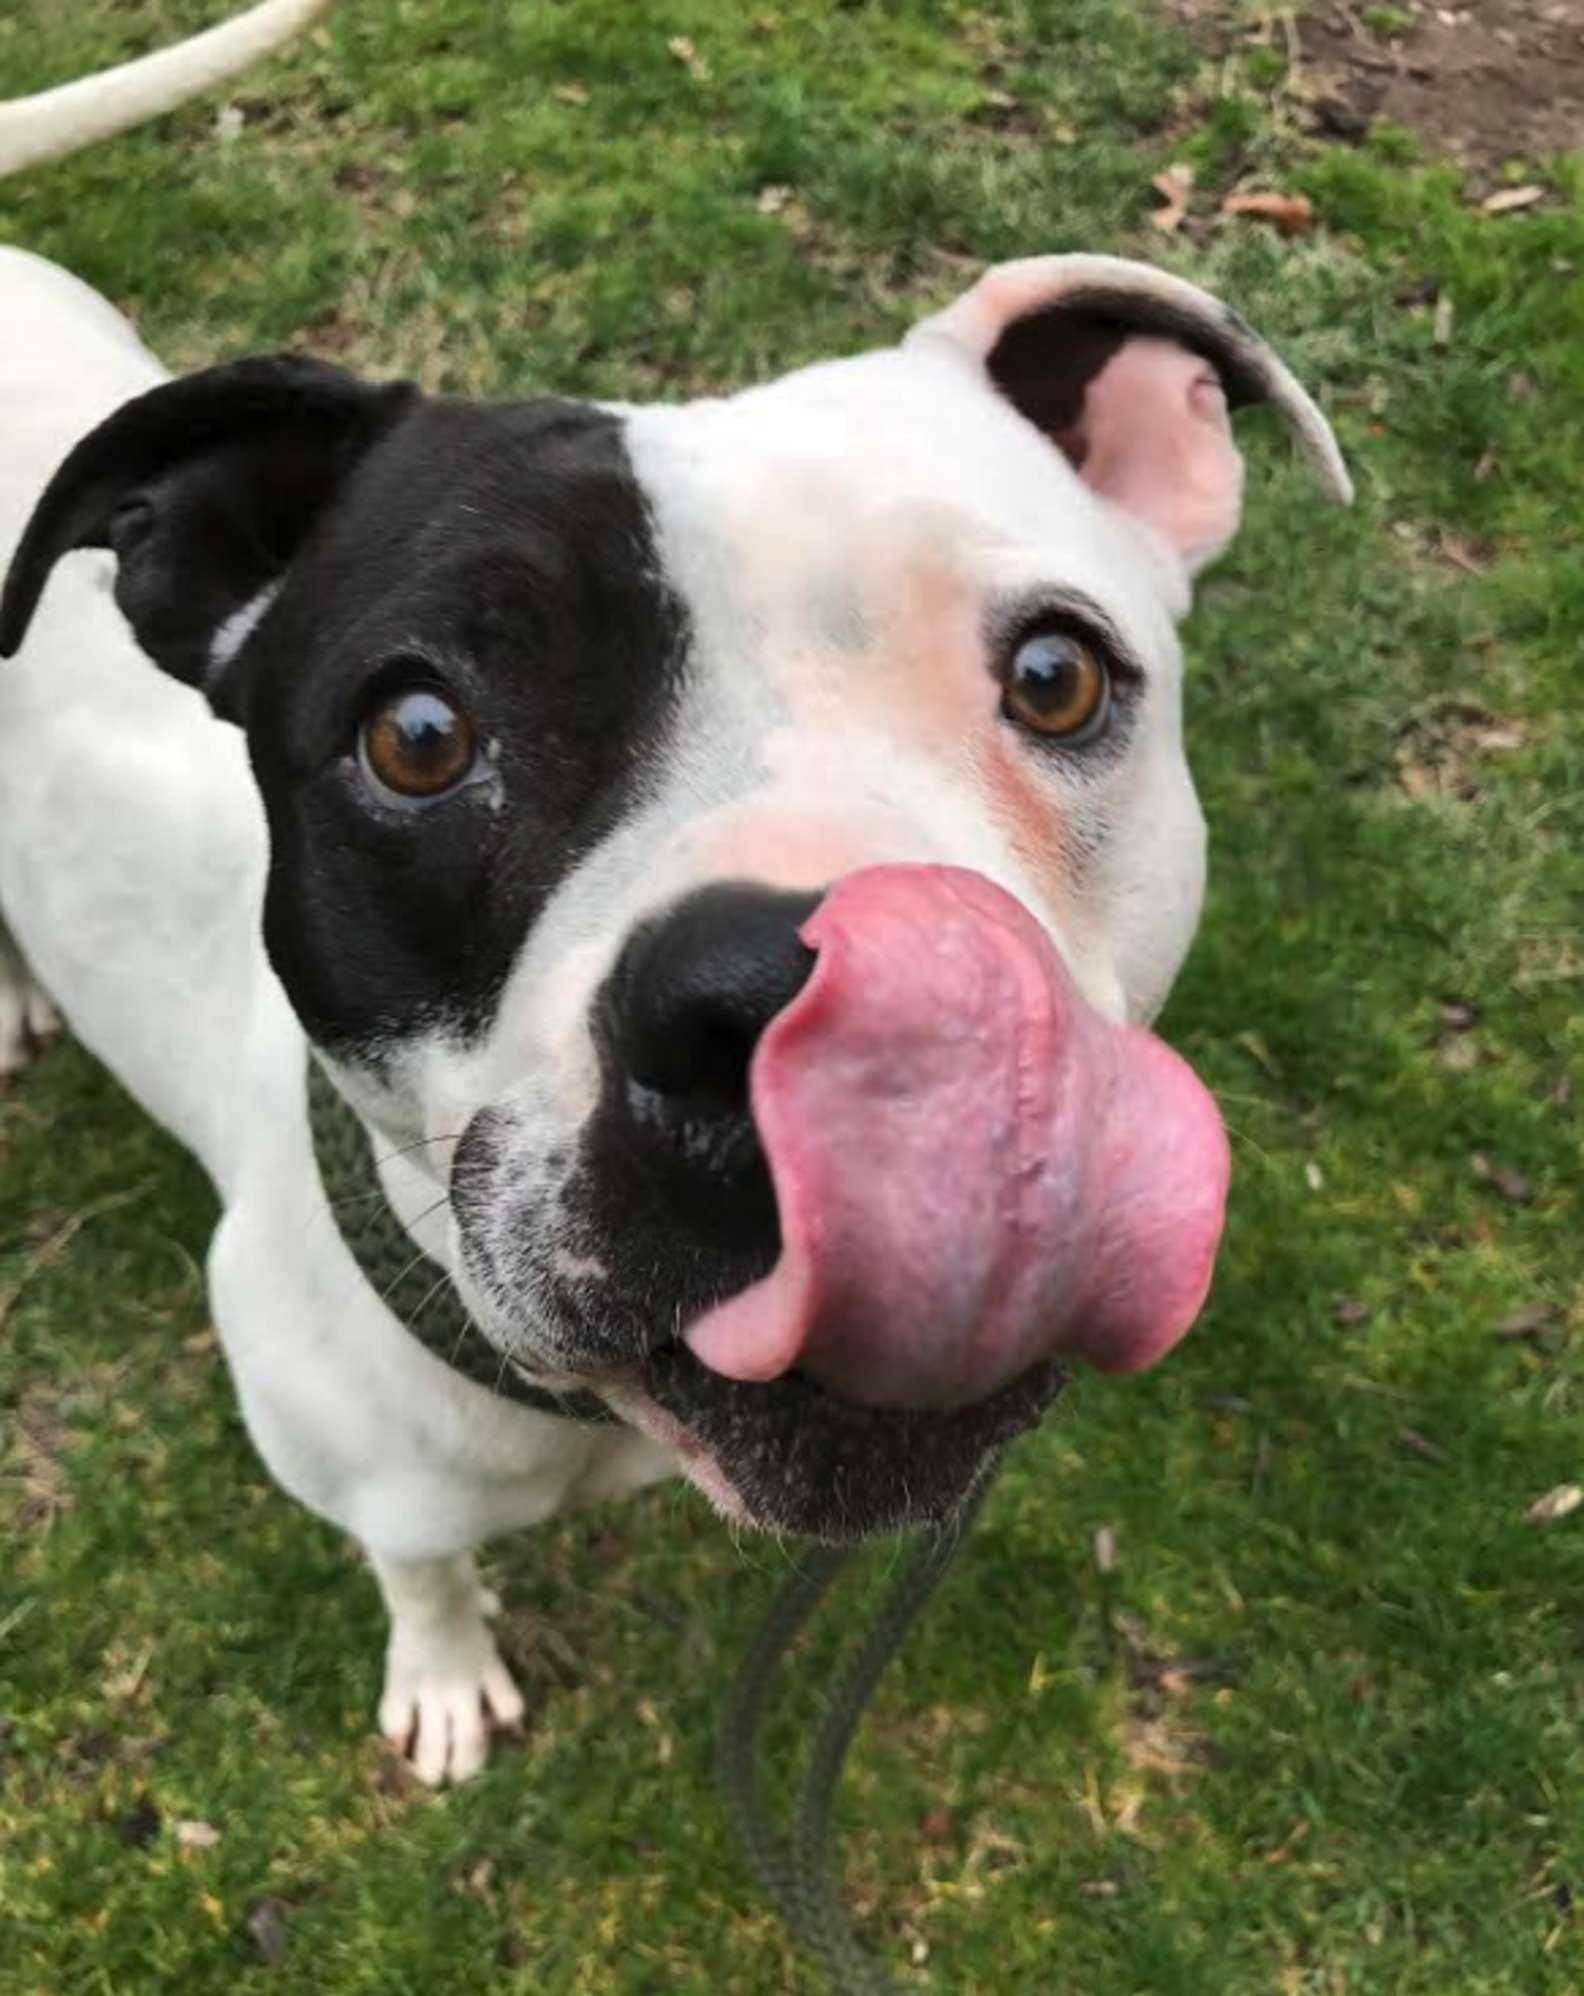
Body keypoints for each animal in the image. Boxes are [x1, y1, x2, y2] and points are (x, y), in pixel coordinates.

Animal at [0, 241, 1348, 1788]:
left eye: (1057, 676)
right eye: (417, 736)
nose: (847, 1026)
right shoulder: (370, 1480)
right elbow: (423, 1573)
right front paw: (445, 1675)